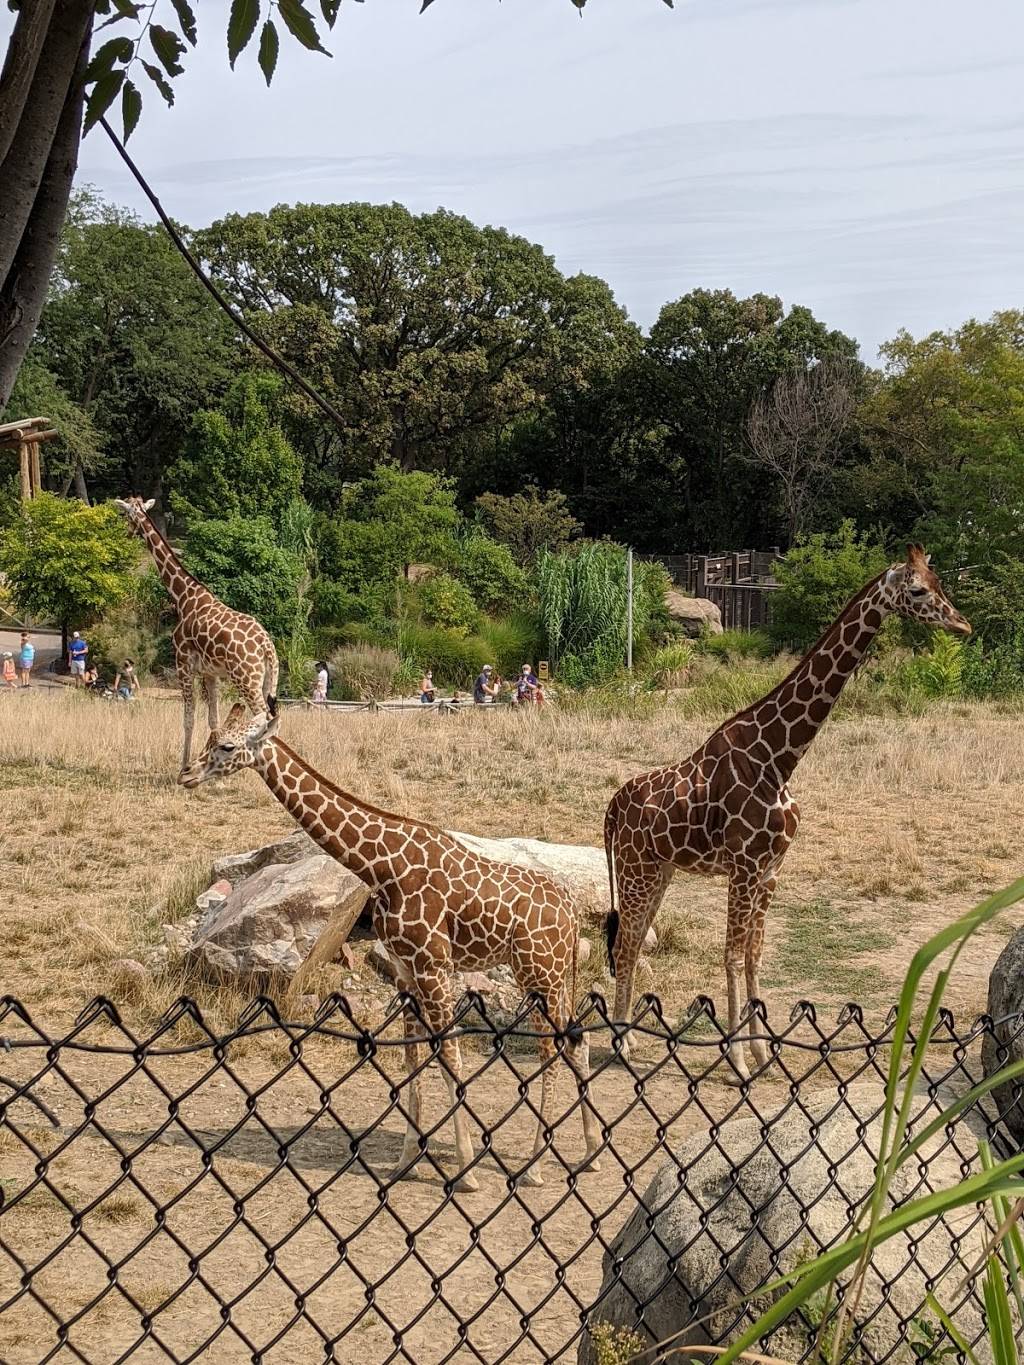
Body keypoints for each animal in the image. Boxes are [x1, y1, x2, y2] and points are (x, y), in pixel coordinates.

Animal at [115, 499, 281, 780]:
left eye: (126, 513)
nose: (126, 532)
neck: (183, 597)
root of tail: (267, 646)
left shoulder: (183, 664)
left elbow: (188, 717)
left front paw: (182, 766)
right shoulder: (210, 673)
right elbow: (213, 720)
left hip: (247, 680)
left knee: (264, 718)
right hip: (268, 679)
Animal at [180, 704, 606, 1195]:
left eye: (227, 745)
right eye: (210, 739)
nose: (187, 774)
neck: (382, 866)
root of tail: (572, 912)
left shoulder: (433, 966)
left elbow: (450, 1055)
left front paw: (466, 1171)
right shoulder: (406, 971)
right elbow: (411, 1058)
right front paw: (407, 1160)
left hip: (539, 971)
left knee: (553, 1048)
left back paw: (535, 1166)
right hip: (554, 975)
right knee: (579, 1039)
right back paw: (591, 1151)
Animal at [606, 537, 972, 1081]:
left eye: (940, 582)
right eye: (917, 590)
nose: (961, 625)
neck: (779, 759)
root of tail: (611, 807)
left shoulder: (771, 868)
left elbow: (755, 954)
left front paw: (762, 1054)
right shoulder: (743, 866)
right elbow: (731, 955)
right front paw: (737, 1059)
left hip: (660, 871)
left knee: (630, 943)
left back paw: (628, 1038)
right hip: (636, 868)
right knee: (626, 944)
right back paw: (621, 1044)